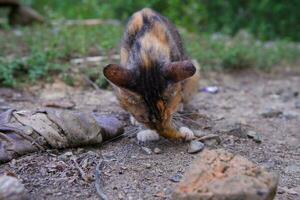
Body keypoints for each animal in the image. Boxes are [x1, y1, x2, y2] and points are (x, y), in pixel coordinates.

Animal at [103, 8, 199, 142]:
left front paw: (183, 128)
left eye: (167, 114)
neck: (147, 54)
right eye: (143, 118)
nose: (162, 131)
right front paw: (147, 132)